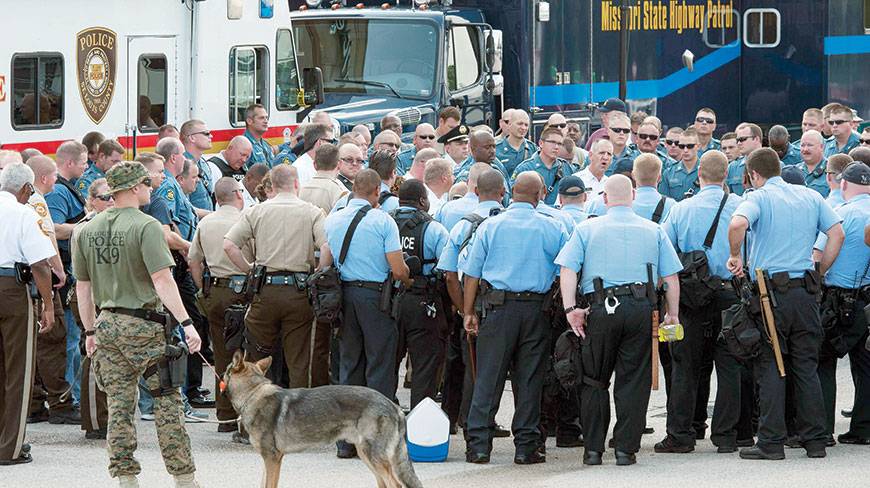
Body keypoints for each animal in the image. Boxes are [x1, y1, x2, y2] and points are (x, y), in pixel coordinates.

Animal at [225, 350, 426, 488]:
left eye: (226, 371)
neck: (253, 393)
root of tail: (394, 406)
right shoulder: (268, 460)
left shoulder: (272, 458)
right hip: (366, 455)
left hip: (373, 456)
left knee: (395, 484)